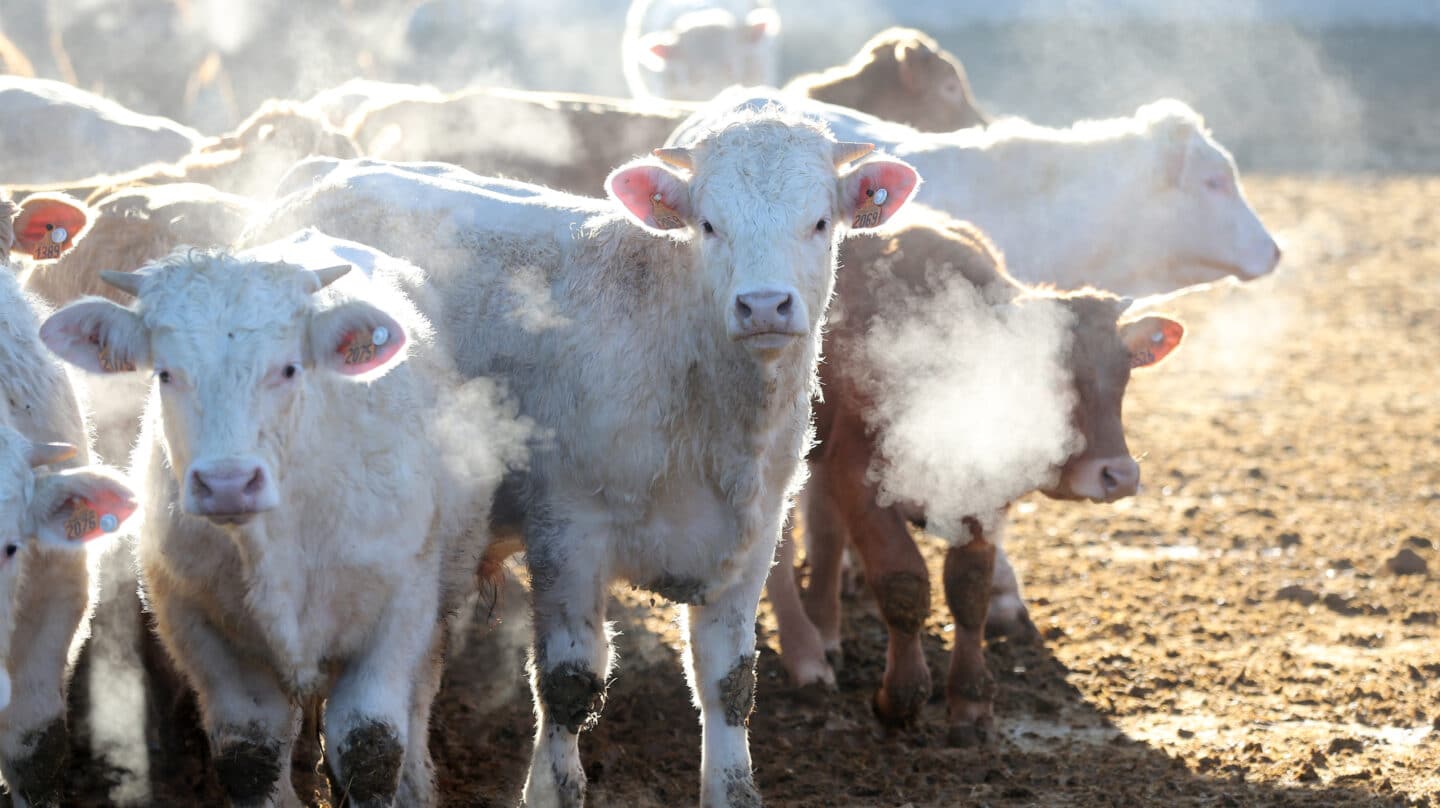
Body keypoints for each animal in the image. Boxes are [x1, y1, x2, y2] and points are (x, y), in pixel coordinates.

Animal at [40, 229, 501, 806]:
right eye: (165, 373)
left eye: (287, 368)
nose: (227, 483)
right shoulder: (197, 625)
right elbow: (250, 752)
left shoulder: (399, 609)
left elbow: (371, 746)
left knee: (418, 694)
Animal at [244, 107, 921, 806]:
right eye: (709, 224)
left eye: (819, 222)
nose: (763, 305)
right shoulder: (566, 533)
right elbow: (568, 684)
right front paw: (550, 785)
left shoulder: (750, 542)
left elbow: (730, 683)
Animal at [771, 216, 1186, 743]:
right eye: (1042, 374)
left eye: (1124, 373)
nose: (1119, 475)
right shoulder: (859, 474)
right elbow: (902, 580)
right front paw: (900, 698)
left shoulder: (982, 488)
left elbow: (969, 589)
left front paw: (969, 701)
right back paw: (811, 650)